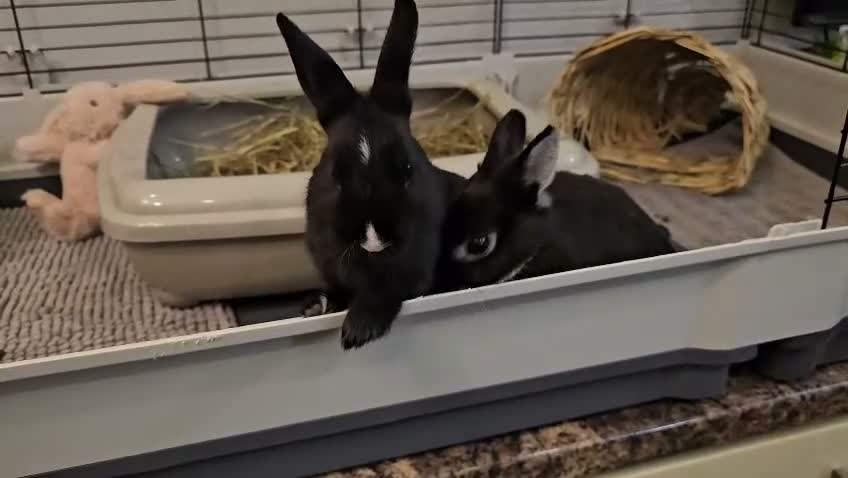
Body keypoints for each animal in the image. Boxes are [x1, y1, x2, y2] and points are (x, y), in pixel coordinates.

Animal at [277, 0, 464, 349]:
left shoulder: (413, 268)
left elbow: (387, 290)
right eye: (335, 175)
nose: (374, 238)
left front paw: (357, 331)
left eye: (408, 169)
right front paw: (314, 306)